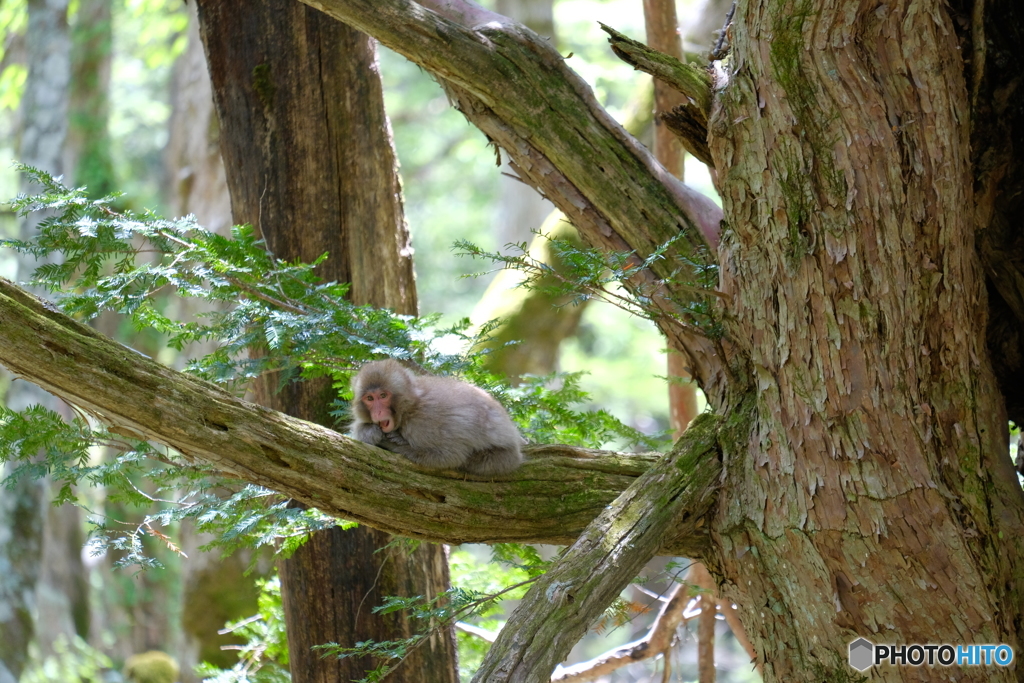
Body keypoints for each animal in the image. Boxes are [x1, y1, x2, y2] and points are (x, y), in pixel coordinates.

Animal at [354, 358, 528, 475]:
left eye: (383, 395)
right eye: (370, 398)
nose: (378, 412)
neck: (410, 408)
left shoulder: (424, 424)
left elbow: (450, 456)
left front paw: (393, 444)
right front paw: (368, 431)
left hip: (504, 458)